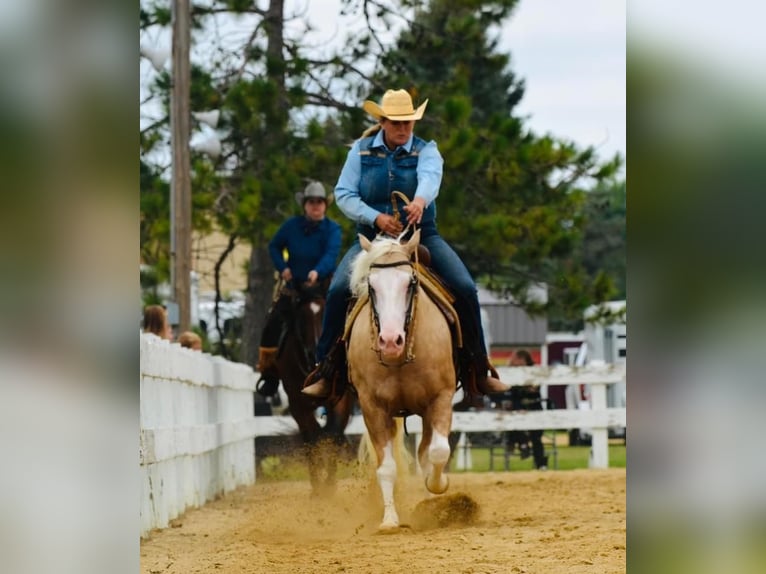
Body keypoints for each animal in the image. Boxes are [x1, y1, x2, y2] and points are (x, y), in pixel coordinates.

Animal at [274, 284, 356, 500]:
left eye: (327, 312)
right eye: (301, 318)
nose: (315, 354)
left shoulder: (341, 398)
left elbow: (333, 433)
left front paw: (329, 486)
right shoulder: (297, 403)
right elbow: (312, 438)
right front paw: (318, 488)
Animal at [350, 230, 460, 532]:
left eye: (410, 283)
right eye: (371, 286)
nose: (390, 341)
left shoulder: (441, 398)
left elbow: (437, 452)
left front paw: (438, 485)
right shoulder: (373, 408)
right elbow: (386, 468)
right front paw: (389, 520)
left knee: (426, 451)